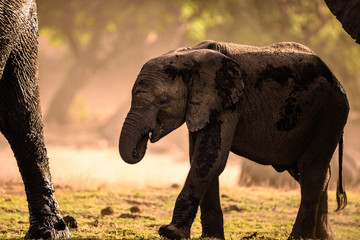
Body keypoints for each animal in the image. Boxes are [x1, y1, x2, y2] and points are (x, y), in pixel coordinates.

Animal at [119, 40, 348, 239]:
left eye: (163, 100)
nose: (144, 140)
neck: (189, 55)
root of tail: (336, 79)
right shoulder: (206, 104)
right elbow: (203, 160)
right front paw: (210, 237)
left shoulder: (228, 101)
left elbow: (210, 158)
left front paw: (170, 233)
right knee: (315, 173)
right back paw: (323, 237)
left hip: (330, 114)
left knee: (311, 172)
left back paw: (300, 238)